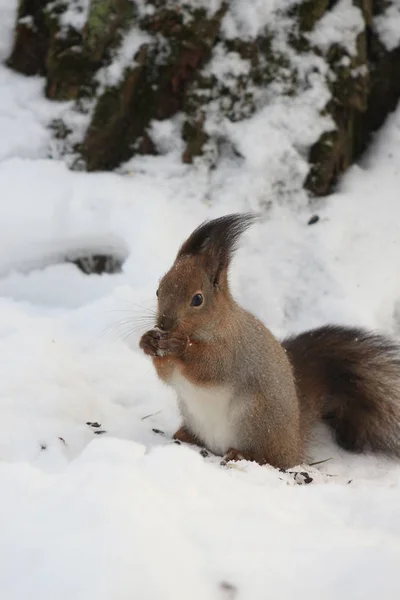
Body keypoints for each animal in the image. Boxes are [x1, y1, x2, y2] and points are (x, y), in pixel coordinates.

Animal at [139, 213, 400, 472]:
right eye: (158, 290)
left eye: (197, 299)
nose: (164, 324)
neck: (216, 324)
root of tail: (294, 443)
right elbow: (168, 374)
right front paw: (147, 341)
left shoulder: (233, 350)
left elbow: (210, 367)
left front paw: (181, 345)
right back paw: (186, 436)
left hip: (255, 420)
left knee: (271, 459)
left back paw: (241, 454)